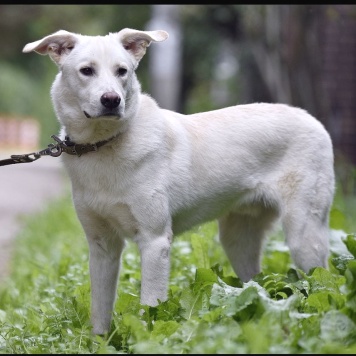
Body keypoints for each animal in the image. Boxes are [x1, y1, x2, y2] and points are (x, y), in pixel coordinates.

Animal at [23, 29, 336, 336]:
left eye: (122, 71)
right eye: (86, 70)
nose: (112, 100)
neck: (102, 145)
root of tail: (311, 118)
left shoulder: (155, 241)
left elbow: (150, 306)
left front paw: (147, 338)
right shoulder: (102, 247)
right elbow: (100, 311)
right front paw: (100, 342)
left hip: (304, 234)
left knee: (324, 280)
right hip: (238, 239)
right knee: (254, 282)